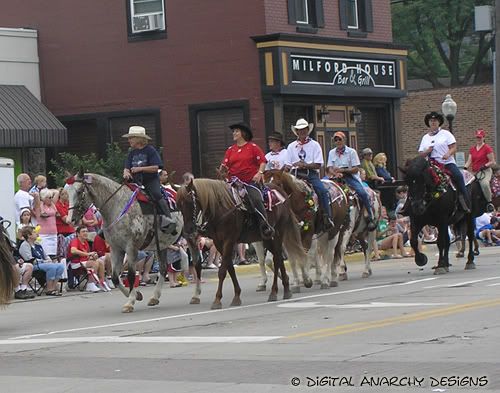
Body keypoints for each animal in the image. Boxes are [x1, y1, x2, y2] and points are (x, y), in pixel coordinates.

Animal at [65, 170, 200, 310]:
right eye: (66, 192)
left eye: (79, 191)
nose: (70, 220)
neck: (118, 207)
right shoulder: (116, 249)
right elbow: (115, 277)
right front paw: (136, 295)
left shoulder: (131, 248)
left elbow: (130, 275)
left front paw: (130, 301)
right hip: (162, 244)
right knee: (163, 268)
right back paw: (155, 297)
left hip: (190, 235)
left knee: (196, 262)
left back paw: (196, 295)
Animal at [178, 178, 306, 310]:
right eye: (178, 205)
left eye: (190, 202)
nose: (188, 230)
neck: (221, 208)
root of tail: (282, 193)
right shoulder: (219, 243)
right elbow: (230, 268)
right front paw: (236, 296)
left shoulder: (229, 240)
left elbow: (222, 271)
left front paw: (217, 300)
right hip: (266, 238)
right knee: (279, 258)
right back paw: (286, 289)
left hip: (278, 233)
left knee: (276, 259)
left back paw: (274, 292)